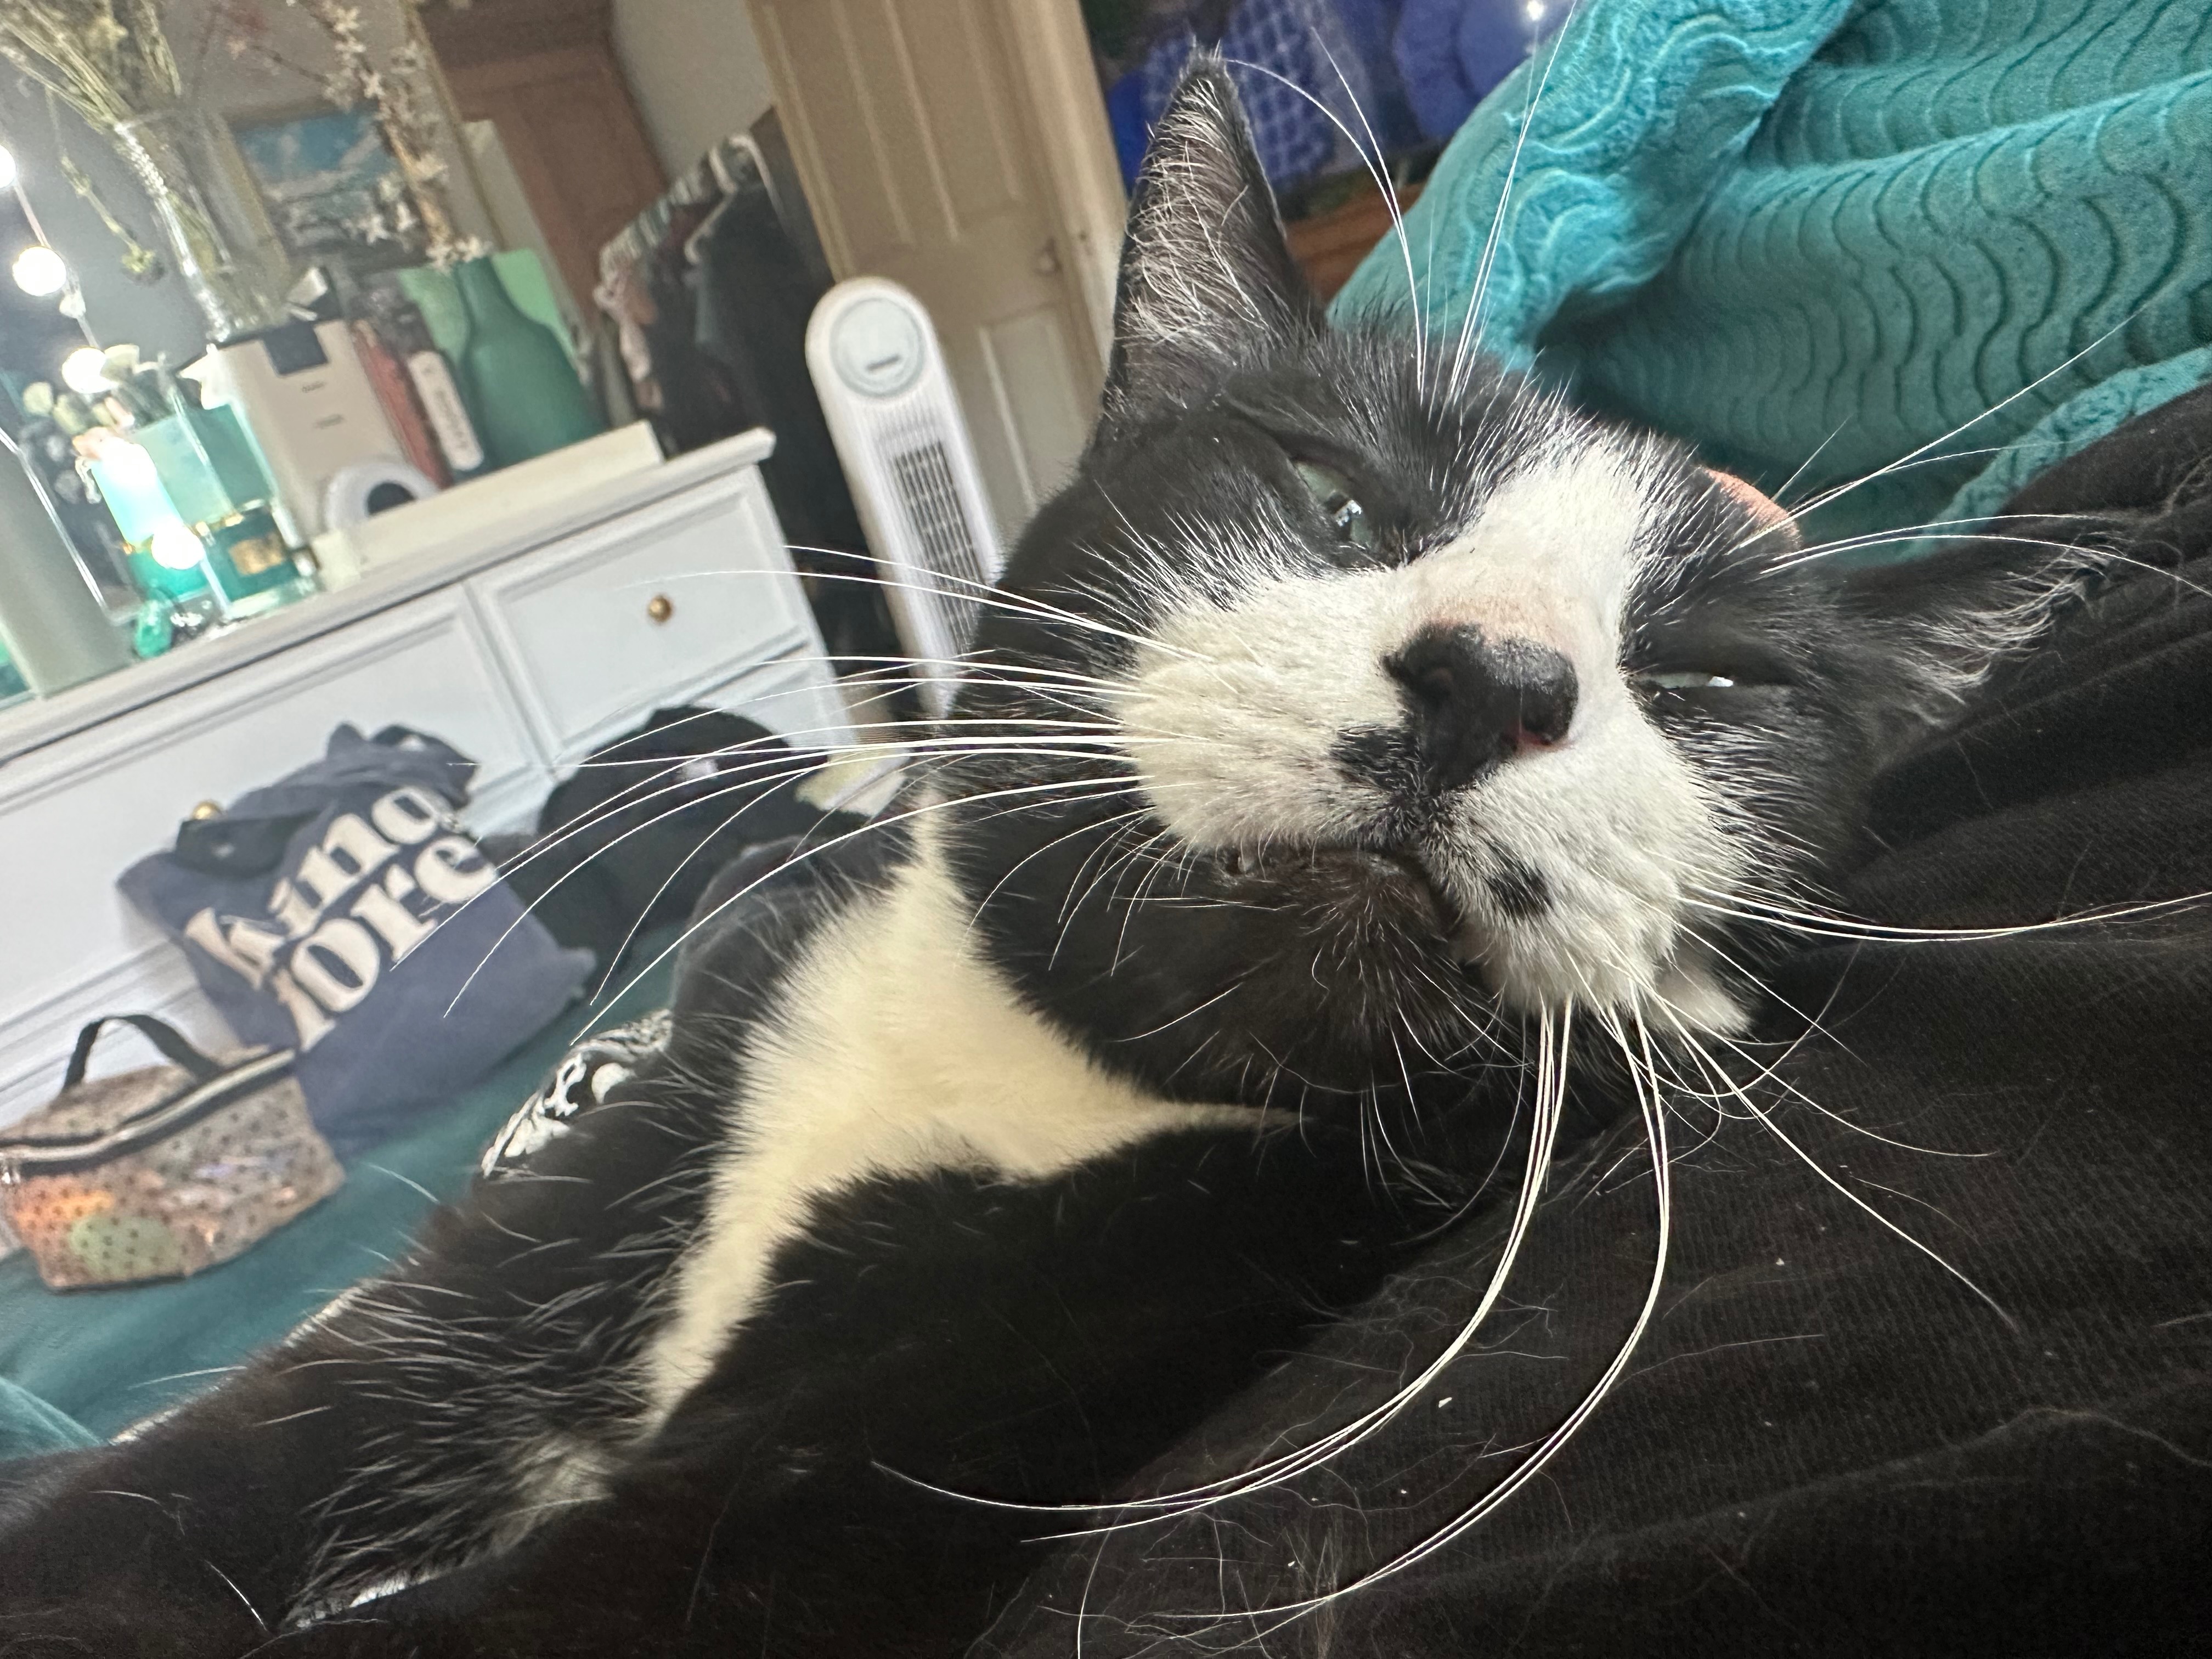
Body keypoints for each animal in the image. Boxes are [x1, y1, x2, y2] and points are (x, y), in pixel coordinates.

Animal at [0, 60, 2082, 1659]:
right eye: (1335, 497)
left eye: (1710, 683)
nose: (1497, 673)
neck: (1015, 1067)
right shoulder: (574, 1203)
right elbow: (182, 1484)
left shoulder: (857, 1466)